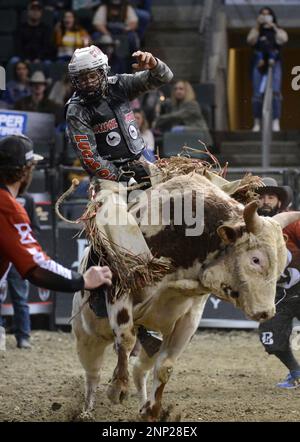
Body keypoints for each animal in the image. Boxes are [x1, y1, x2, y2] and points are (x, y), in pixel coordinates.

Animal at [71, 173, 298, 422]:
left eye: (282, 262)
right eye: (256, 259)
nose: (266, 312)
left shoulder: (190, 316)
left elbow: (165, 366)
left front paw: (152, 411)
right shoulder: (122, 288)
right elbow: (126, 337)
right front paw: (118, 388)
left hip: (148, 344)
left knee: (139, 370)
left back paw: (141, 406)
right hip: (87, 337)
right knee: (92, 374)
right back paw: (86, 411)